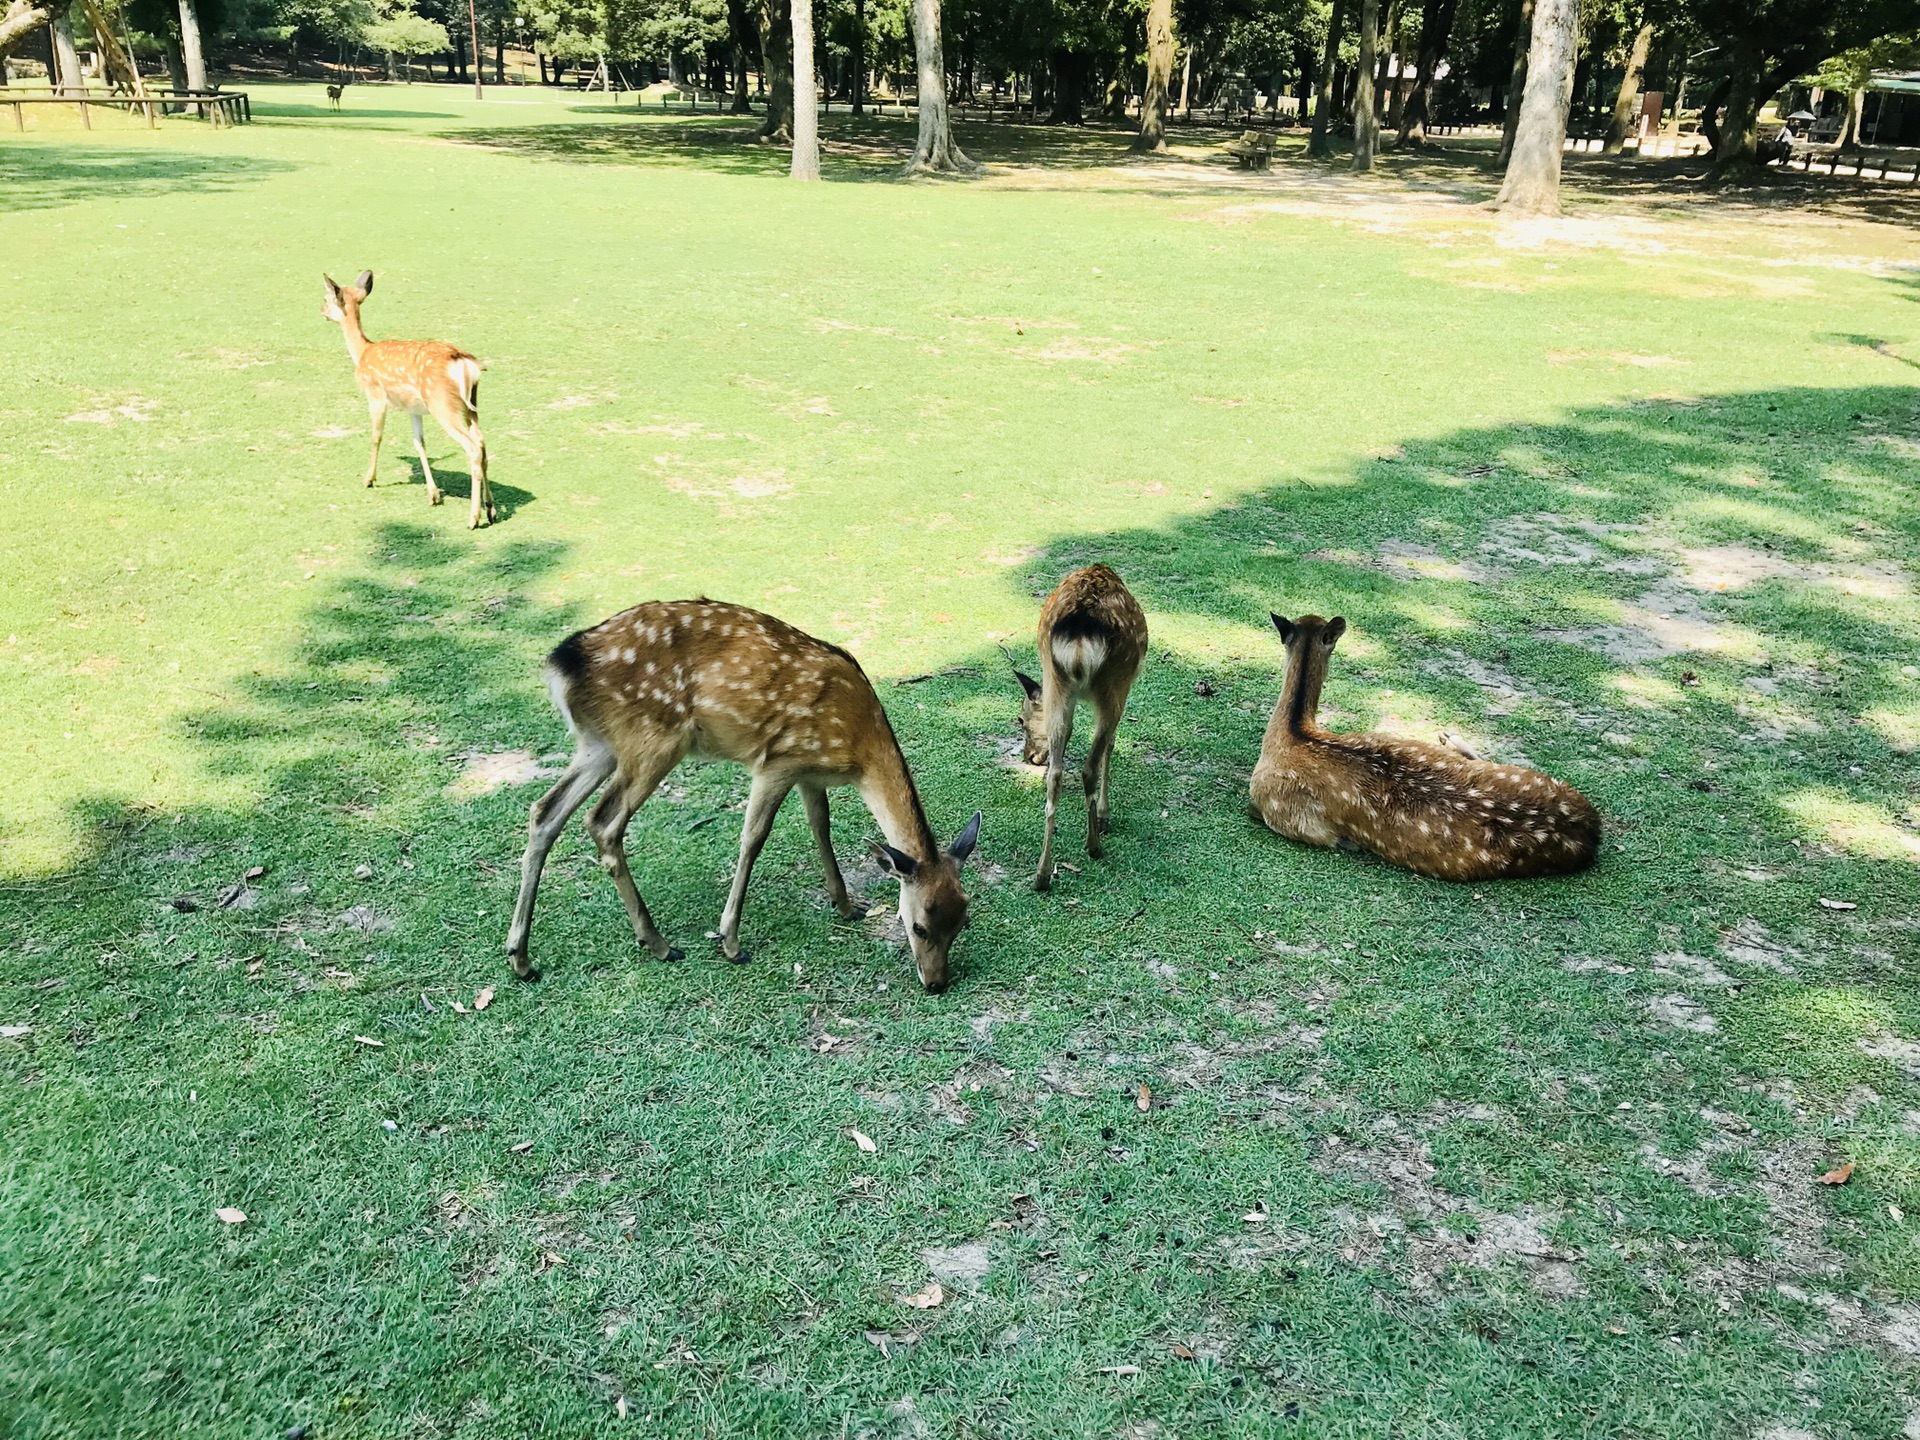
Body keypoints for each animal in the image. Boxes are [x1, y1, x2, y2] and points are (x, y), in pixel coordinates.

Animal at [320, 270, 495, 529]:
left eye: (327, 297)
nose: (321, 310)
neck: (362, 353)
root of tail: (465, 363)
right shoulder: (414, 409)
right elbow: (419, 443)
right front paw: (433, 494)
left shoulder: (375, 394)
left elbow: (376, 437)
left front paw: (368, 479)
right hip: (471, 405)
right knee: (482, 443)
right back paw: (491, 509)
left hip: (443, 405)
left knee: (472, 448)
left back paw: (473, 518)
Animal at [503, 599, 983, 990]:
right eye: (919, 926)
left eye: (963, 919)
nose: (936, 983)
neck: (857, 749)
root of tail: (562, 664)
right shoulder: (779, 761)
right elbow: (753, 838)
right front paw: (731, 943)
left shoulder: (810, 774)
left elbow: (821, 828)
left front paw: (846, 906)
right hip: (653, 740)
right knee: (602, 821)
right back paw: (659, 943)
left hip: (597, 745)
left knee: (545, 811)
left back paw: (521, 959)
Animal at [1006, 564, 1152, 890]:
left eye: (1020, 719)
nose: (1028, 756)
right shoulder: (1124, 688)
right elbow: (1111, 745)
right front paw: (1105, 815)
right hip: (1114, 682)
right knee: (1090, 765)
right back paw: (1094, 845)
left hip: (1057, 680)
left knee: (1056, 774)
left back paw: (1042, 874)